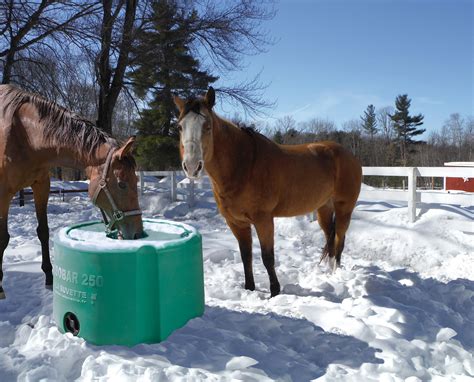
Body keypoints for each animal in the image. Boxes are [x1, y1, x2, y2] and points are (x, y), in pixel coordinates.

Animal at [0, 85, 144, 300]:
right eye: (122, 184)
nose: (137, 234)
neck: (25, 135)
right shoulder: (4, 194)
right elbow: (3, 238)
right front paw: (0, 286)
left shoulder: (41, 186)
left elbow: (43, 231)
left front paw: (49, 276)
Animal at [174, 88, 362, 296]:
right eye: (180, 127)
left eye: (207, 126)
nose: (192, 166)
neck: (244, 165)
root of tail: (348, 155)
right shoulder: (236, 223)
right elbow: (246, 256)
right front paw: (249, 288)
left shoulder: (263, 220)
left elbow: (267, 257)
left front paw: (275, 291)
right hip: (324, 209)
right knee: (330, 239)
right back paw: (328, 274)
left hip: (344, 208)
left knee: (339, 240)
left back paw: (336, 274)